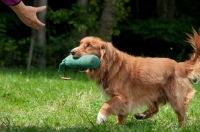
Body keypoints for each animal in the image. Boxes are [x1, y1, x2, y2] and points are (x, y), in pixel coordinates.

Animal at [69, 29, 200, 126]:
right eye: (80, 44)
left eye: (89, 45)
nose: (71, 52)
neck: (110, 66)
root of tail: (180, 65)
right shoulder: (123, 100)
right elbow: (121, 114)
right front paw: (118, 125)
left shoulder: (124, 97)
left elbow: (107, 104)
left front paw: (101, 118)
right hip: (154, 93)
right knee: (155, 108)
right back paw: (141, 115)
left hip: (175, 96)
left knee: (181, 114)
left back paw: (181, 127)